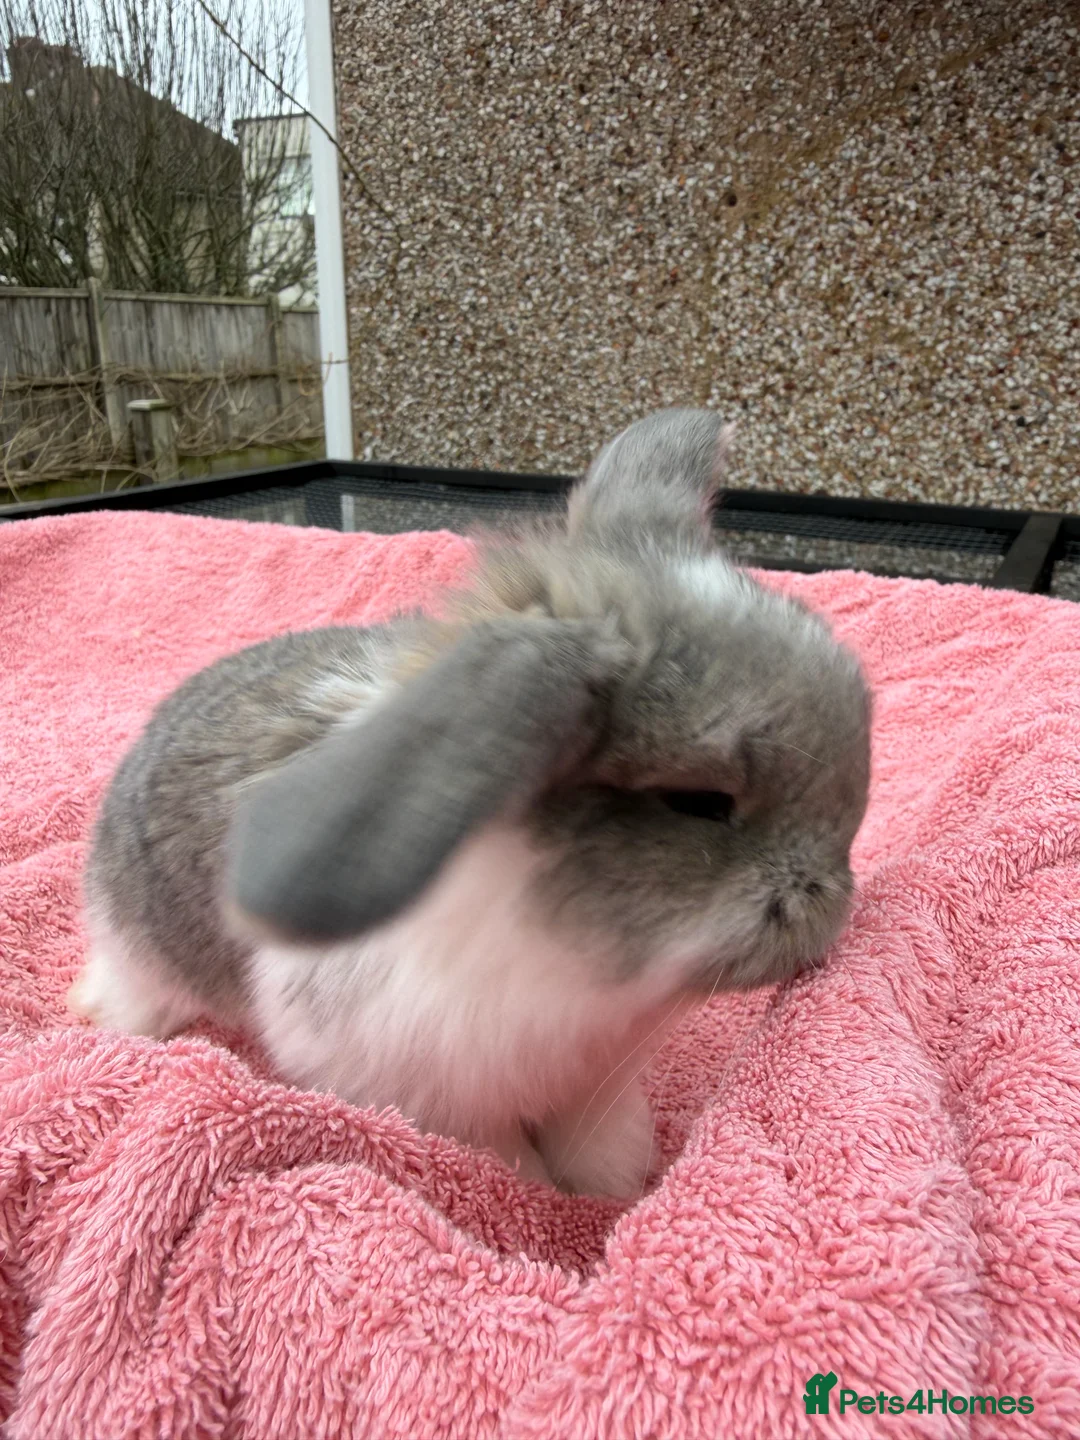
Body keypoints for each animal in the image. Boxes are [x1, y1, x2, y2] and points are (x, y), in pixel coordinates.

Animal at [69, 409, 871, 1199]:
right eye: (700, 801)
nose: (833, 902)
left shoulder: (593, 1082)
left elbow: (602, 1146)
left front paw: (614, 1191)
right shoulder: (428, 1087)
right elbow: (501, 1159)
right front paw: (541, 1200)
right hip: (141, 956)